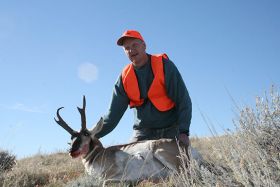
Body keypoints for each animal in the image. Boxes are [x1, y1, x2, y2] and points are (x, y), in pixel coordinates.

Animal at [54, 96, 199, 183]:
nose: (71, 151)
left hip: (161, 153)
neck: (99, 154)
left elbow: (105, 181)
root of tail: (186, 145)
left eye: (86, 134)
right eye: (71, 137)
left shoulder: (109, 176)